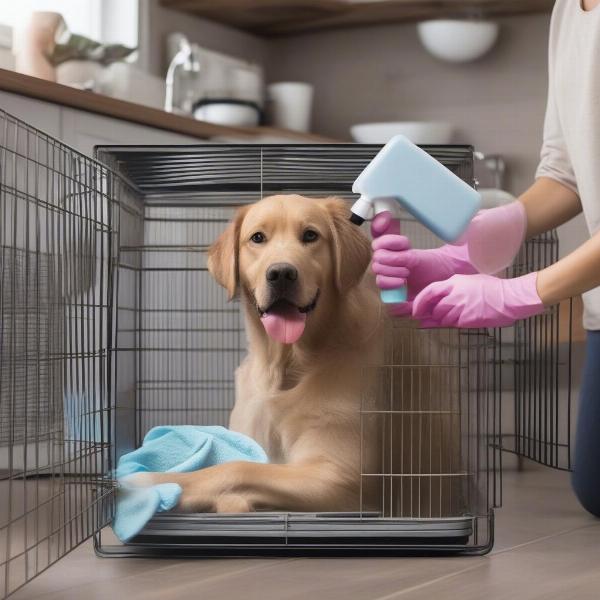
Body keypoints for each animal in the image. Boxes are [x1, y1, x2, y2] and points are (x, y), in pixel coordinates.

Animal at [142, 193, 460, 516]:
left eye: (310, 235)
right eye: (257, 238)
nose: (281, 273)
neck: (286, 366)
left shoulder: (341, 473)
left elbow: (237, 468)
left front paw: (150, 481)